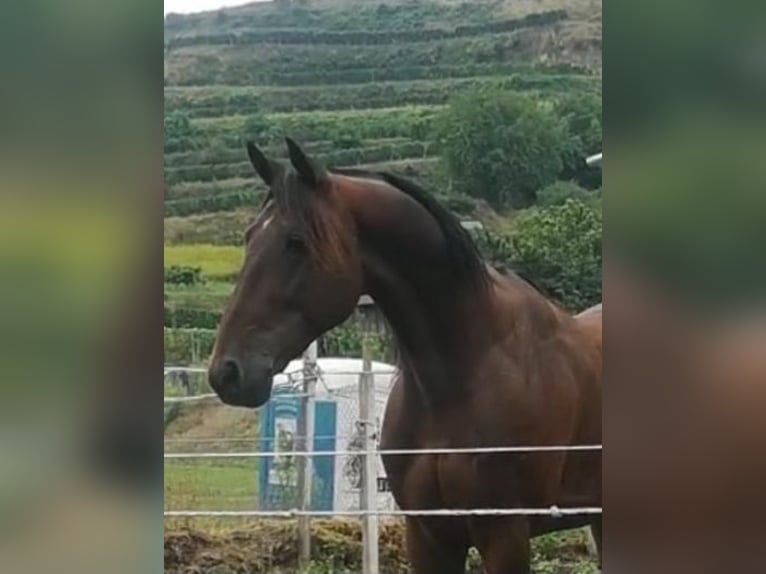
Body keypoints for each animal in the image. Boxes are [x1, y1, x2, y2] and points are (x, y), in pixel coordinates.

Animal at [207, 140, 604, 574]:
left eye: (296, 241)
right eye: (249, 236)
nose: (227, 371)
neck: (465, 372)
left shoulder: (505, 534)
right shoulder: (428, 533)